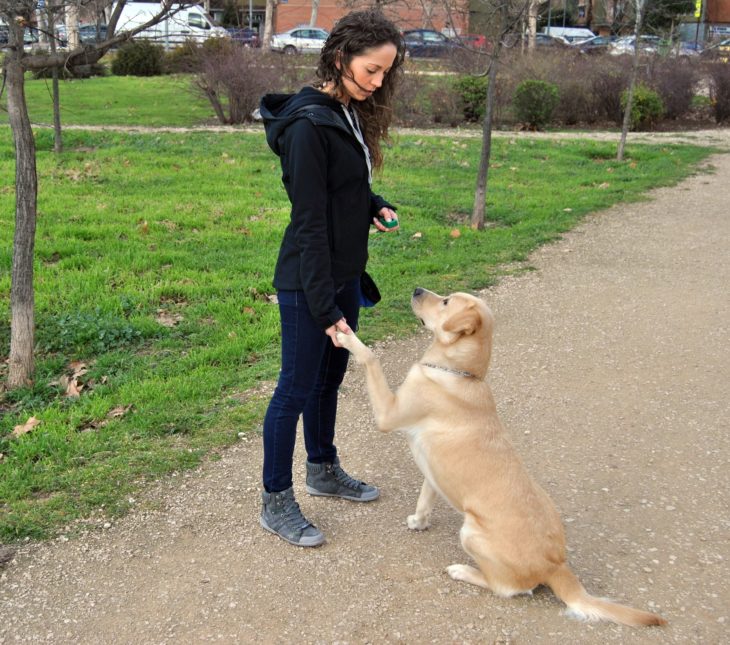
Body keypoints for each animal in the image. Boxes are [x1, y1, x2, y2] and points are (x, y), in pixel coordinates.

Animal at [336, 290, 664, 628]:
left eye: (445, 302)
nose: (416, 290)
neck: (461, 374)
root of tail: (556, 566)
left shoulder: (388, 414)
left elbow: (370, 357)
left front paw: (347, 337)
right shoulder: (432, 471)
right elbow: (425, 498)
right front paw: (419, 521)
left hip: (470, 533)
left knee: (506, 588)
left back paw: (463, 571)